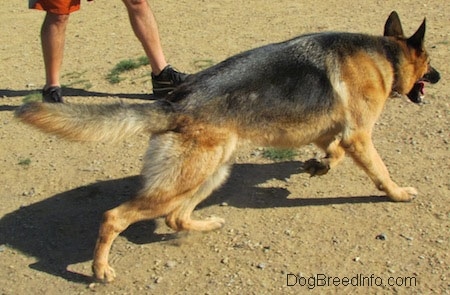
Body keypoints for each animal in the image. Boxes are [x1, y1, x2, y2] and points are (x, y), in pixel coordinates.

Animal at [15, 11, 438, 284]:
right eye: (430, 60)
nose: (437, 75)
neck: (383, 55)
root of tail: (174, 102)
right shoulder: (359, 135)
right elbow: (379, 171)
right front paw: (398, 193)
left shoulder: (330, 129)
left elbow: (331, 150)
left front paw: (317, 166)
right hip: (188, 178)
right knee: (114, 217)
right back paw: (100, 269)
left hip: (211, 173)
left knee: (175, 217)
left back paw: (208, 223)